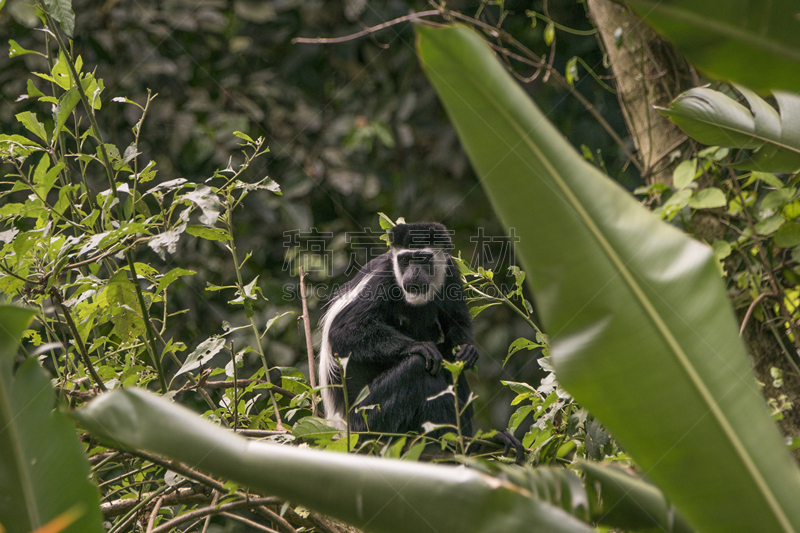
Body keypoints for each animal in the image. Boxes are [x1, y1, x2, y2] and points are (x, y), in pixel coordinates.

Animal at [318, 222, 478, 434]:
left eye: (423, 259)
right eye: (405, 260)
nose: (413, 275)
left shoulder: (450, 271)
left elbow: (457, 321)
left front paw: (467, 350)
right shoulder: (381, 278)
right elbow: (343, 331)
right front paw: (417, 346)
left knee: (449, 359)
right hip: (367, 416)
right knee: (416, 367)